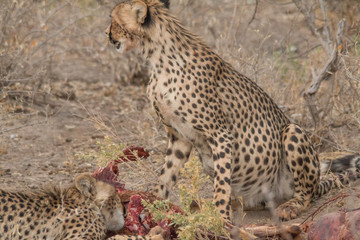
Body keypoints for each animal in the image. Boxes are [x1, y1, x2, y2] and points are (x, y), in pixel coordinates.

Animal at [105, 0, 358, 223]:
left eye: (114, 20)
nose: (107, 33)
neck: (157, 58)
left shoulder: (220, 133)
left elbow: (221, 185)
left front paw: (220, 219)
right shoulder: (179, 137)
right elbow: (166, 177)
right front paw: (152, 206)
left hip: (292, 133)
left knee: (306, 193)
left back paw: (289, 207)